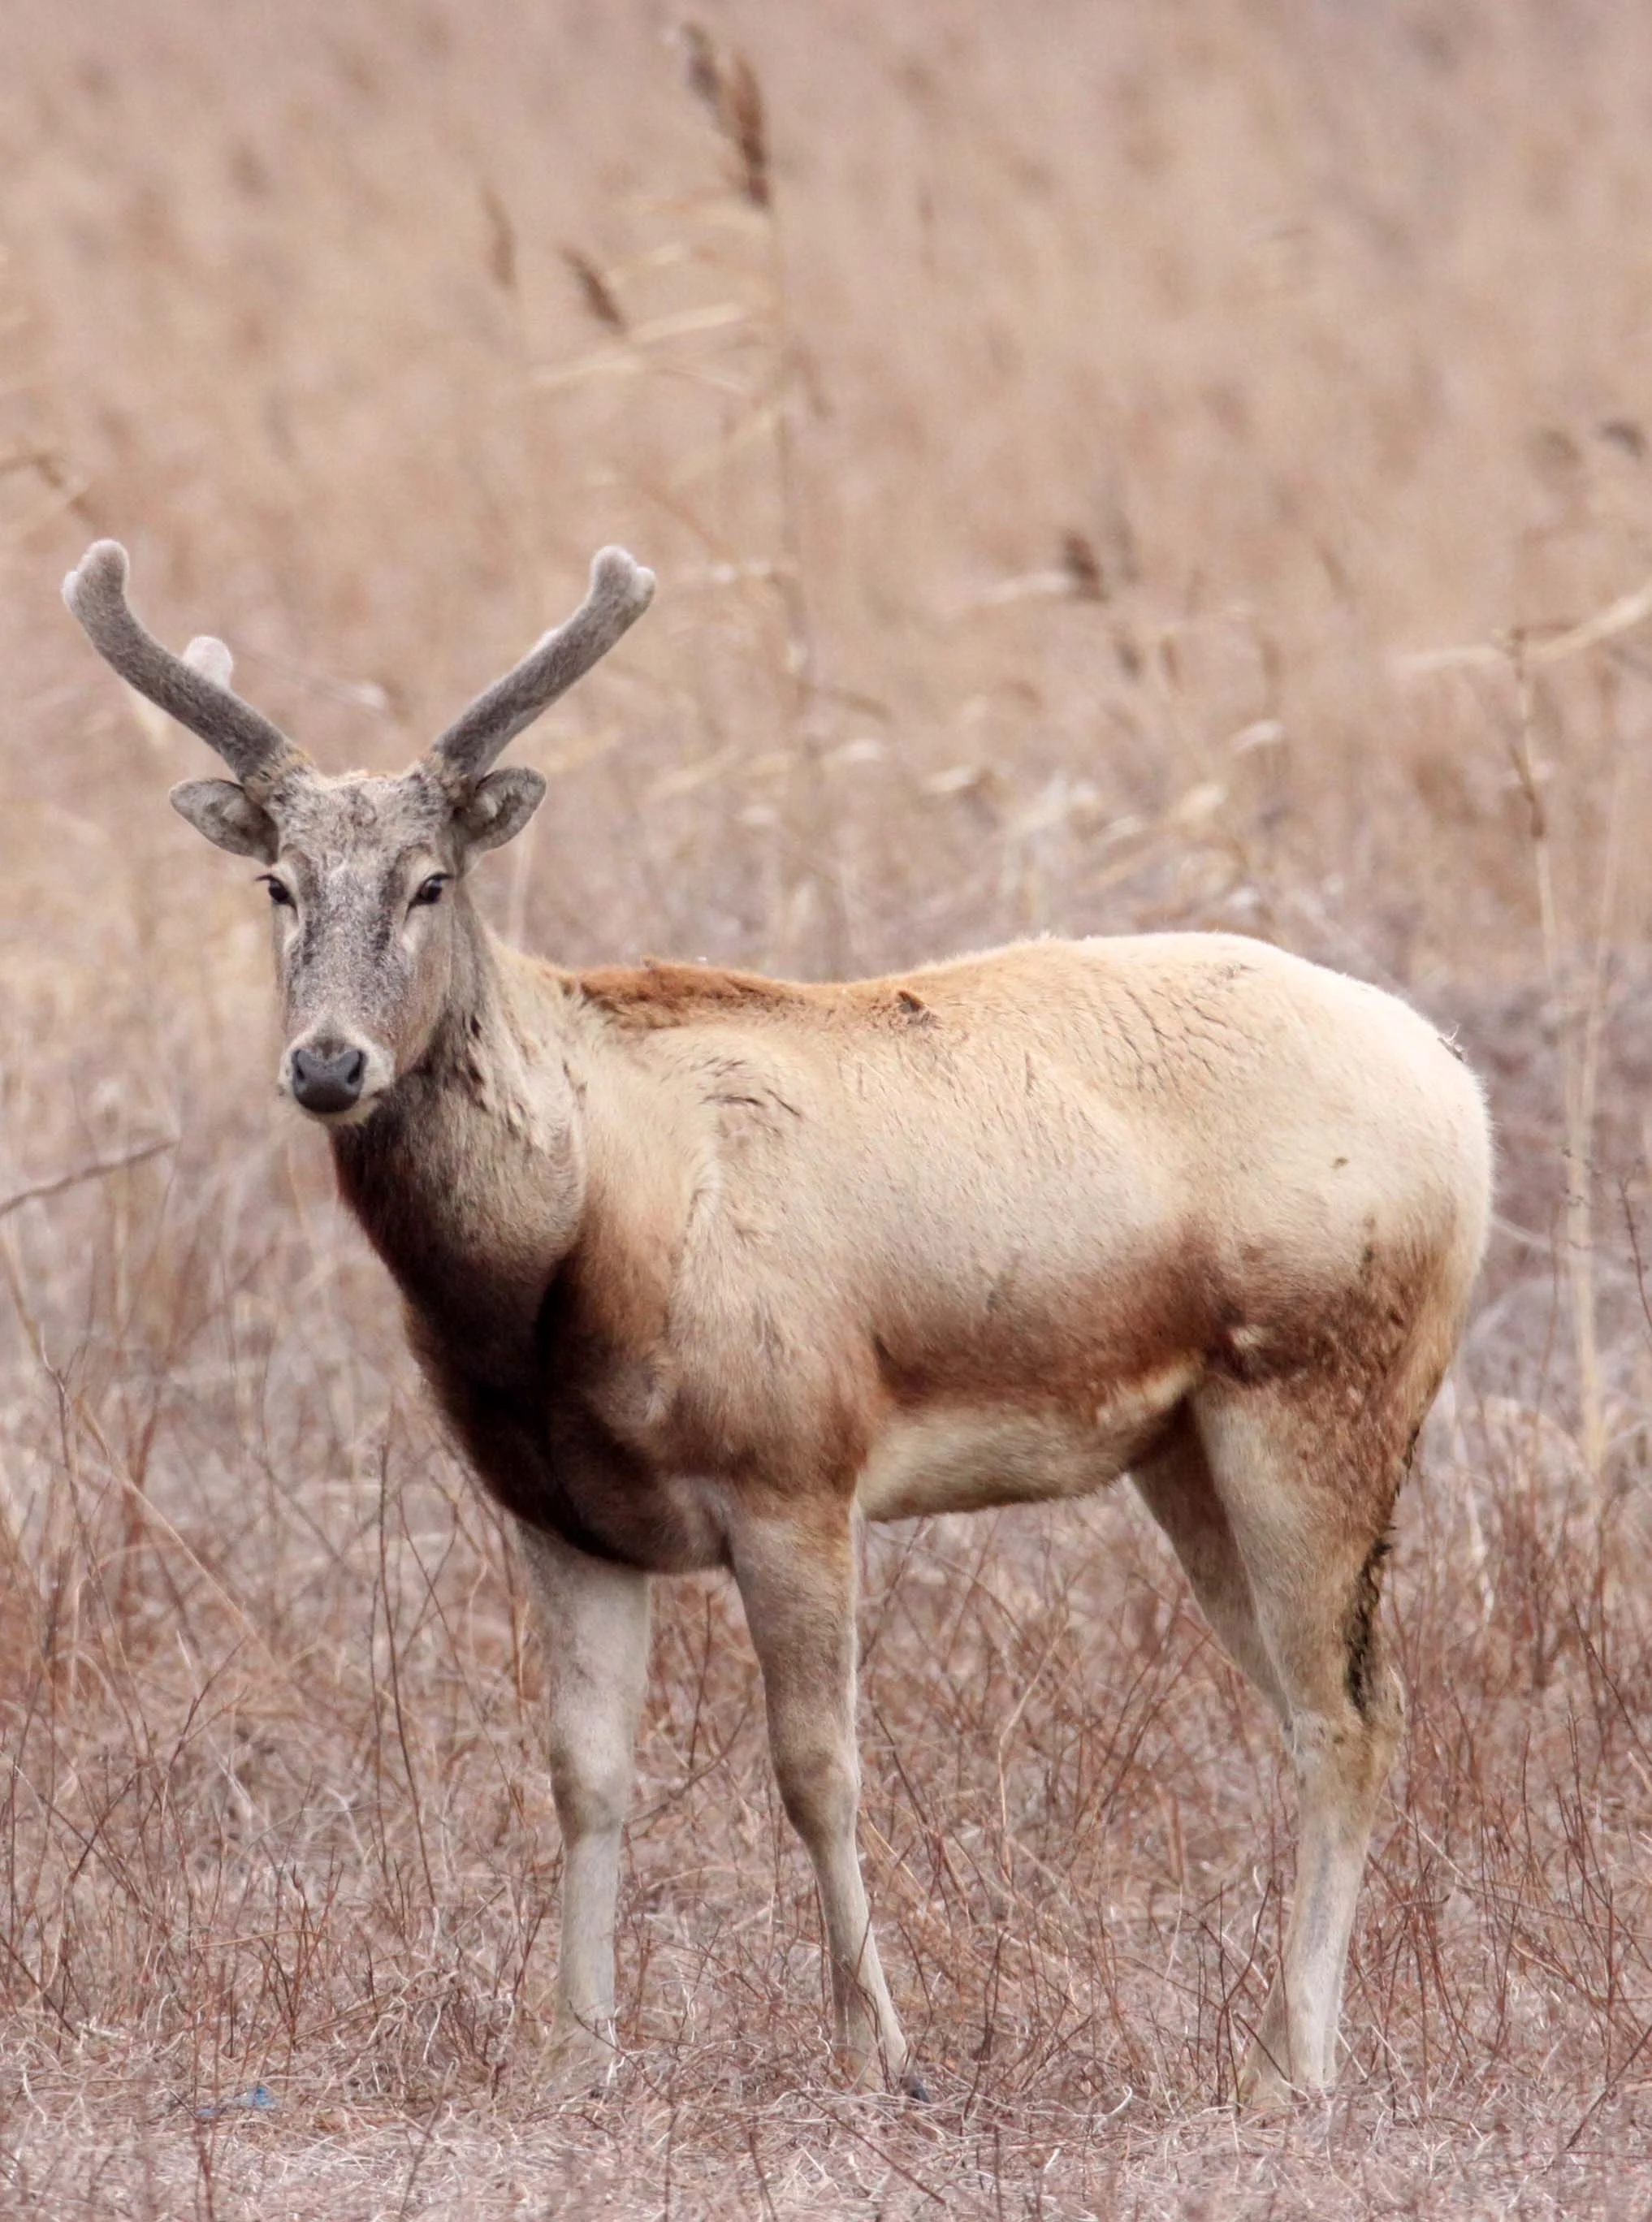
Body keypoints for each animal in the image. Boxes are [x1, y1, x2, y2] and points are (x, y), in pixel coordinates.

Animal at [65, 537, 1491, 2107]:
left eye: (432, 881)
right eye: (277, 881)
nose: (328, 1063)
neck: (568, 1252)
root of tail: (1455, 1083)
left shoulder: (796, 1464)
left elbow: (816, 1768)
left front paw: (876, 2053)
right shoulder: (555, 1511)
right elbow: (582, 1774)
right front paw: (573, 2052)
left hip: (1323, 1384)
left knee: (1354, 1713)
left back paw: (1288, 2069)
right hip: (1183, 1445)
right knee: (1318, 1707)